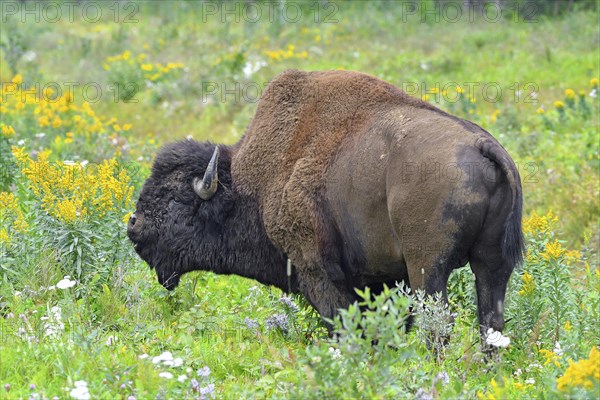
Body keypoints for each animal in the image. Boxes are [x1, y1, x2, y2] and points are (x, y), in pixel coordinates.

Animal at [129, 70, 524, 336]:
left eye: (176, 198)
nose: (134, 225)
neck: (251, 182)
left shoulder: (317, 271)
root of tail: (482, 145)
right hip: (492, 263)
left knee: (438, 325)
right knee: (491, 321)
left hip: (429, 268)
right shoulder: (382, 279)